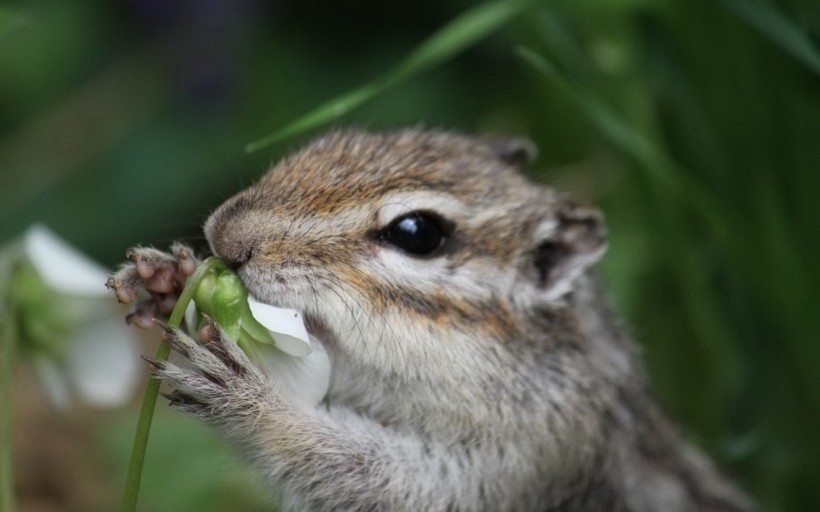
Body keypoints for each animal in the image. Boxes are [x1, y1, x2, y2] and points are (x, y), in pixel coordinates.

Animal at [107, 130, 756, 512]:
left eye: (417, 233)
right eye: (334, 138)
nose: (226, 236)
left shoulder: (536, 454)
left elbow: (382, 482)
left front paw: (254, 400)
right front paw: (166, 279)